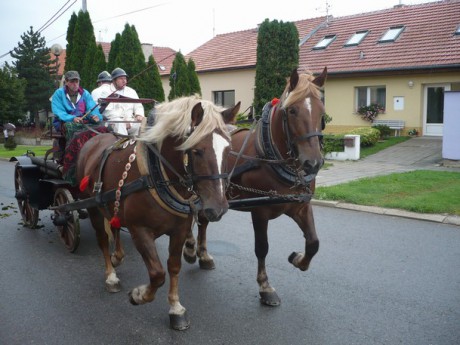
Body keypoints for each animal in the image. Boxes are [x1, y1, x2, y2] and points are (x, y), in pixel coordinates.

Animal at [75, 94, 241, 328]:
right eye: (197, 150)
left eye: (228, 149)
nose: (217, 208)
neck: (157, 174)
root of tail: (93, 140)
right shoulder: (140, 230)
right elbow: (157, 273)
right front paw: (138, 295)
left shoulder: (180, 230)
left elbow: (173, 267)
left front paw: (175, 308)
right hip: (93, 207)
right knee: (102, 239)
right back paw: (111, 275)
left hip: (111, 203)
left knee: (114, 227)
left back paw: (118, 256)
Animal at [184, 68, 328, 306]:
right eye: (292, 110)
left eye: (321, 111)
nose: (313, 162)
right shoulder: (260, 211)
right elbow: (262, 248)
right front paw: (265, 286)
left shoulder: (301, 206)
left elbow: (314, 243)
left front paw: (298, 259)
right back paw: (190, 249)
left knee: (203, 220)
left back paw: (203, 255)